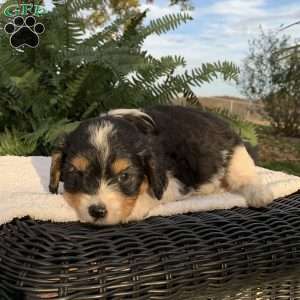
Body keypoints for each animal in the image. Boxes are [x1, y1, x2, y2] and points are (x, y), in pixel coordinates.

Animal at [48, 105, 274, 225]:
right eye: (76, 174)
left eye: (124, 177)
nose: (97, 211)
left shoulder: (175, 179)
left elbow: (152, 193)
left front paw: (135, 207)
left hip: (237, 157)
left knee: (248, 177)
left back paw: (260, 195)